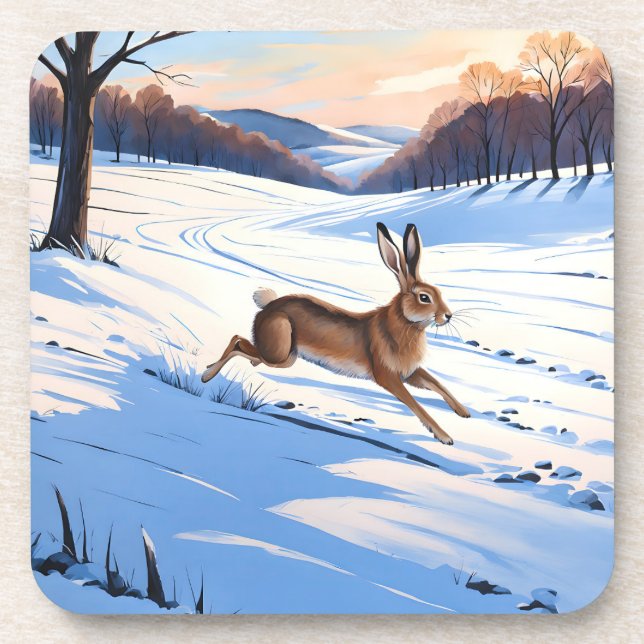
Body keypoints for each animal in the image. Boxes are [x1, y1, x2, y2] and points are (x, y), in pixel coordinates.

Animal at [201, 222, 470, 445]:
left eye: (439, 292)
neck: (404, 323)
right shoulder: (387, 375)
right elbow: (416, 405)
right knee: (237, 341)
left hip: (284, 356)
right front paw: (445, 436)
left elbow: (437, 383)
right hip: (280, 353)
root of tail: (268, 307)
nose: (448, 316)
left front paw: (464, 412)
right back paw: (206, 376)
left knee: (246, 348)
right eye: (424, 298)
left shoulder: (410, 372)